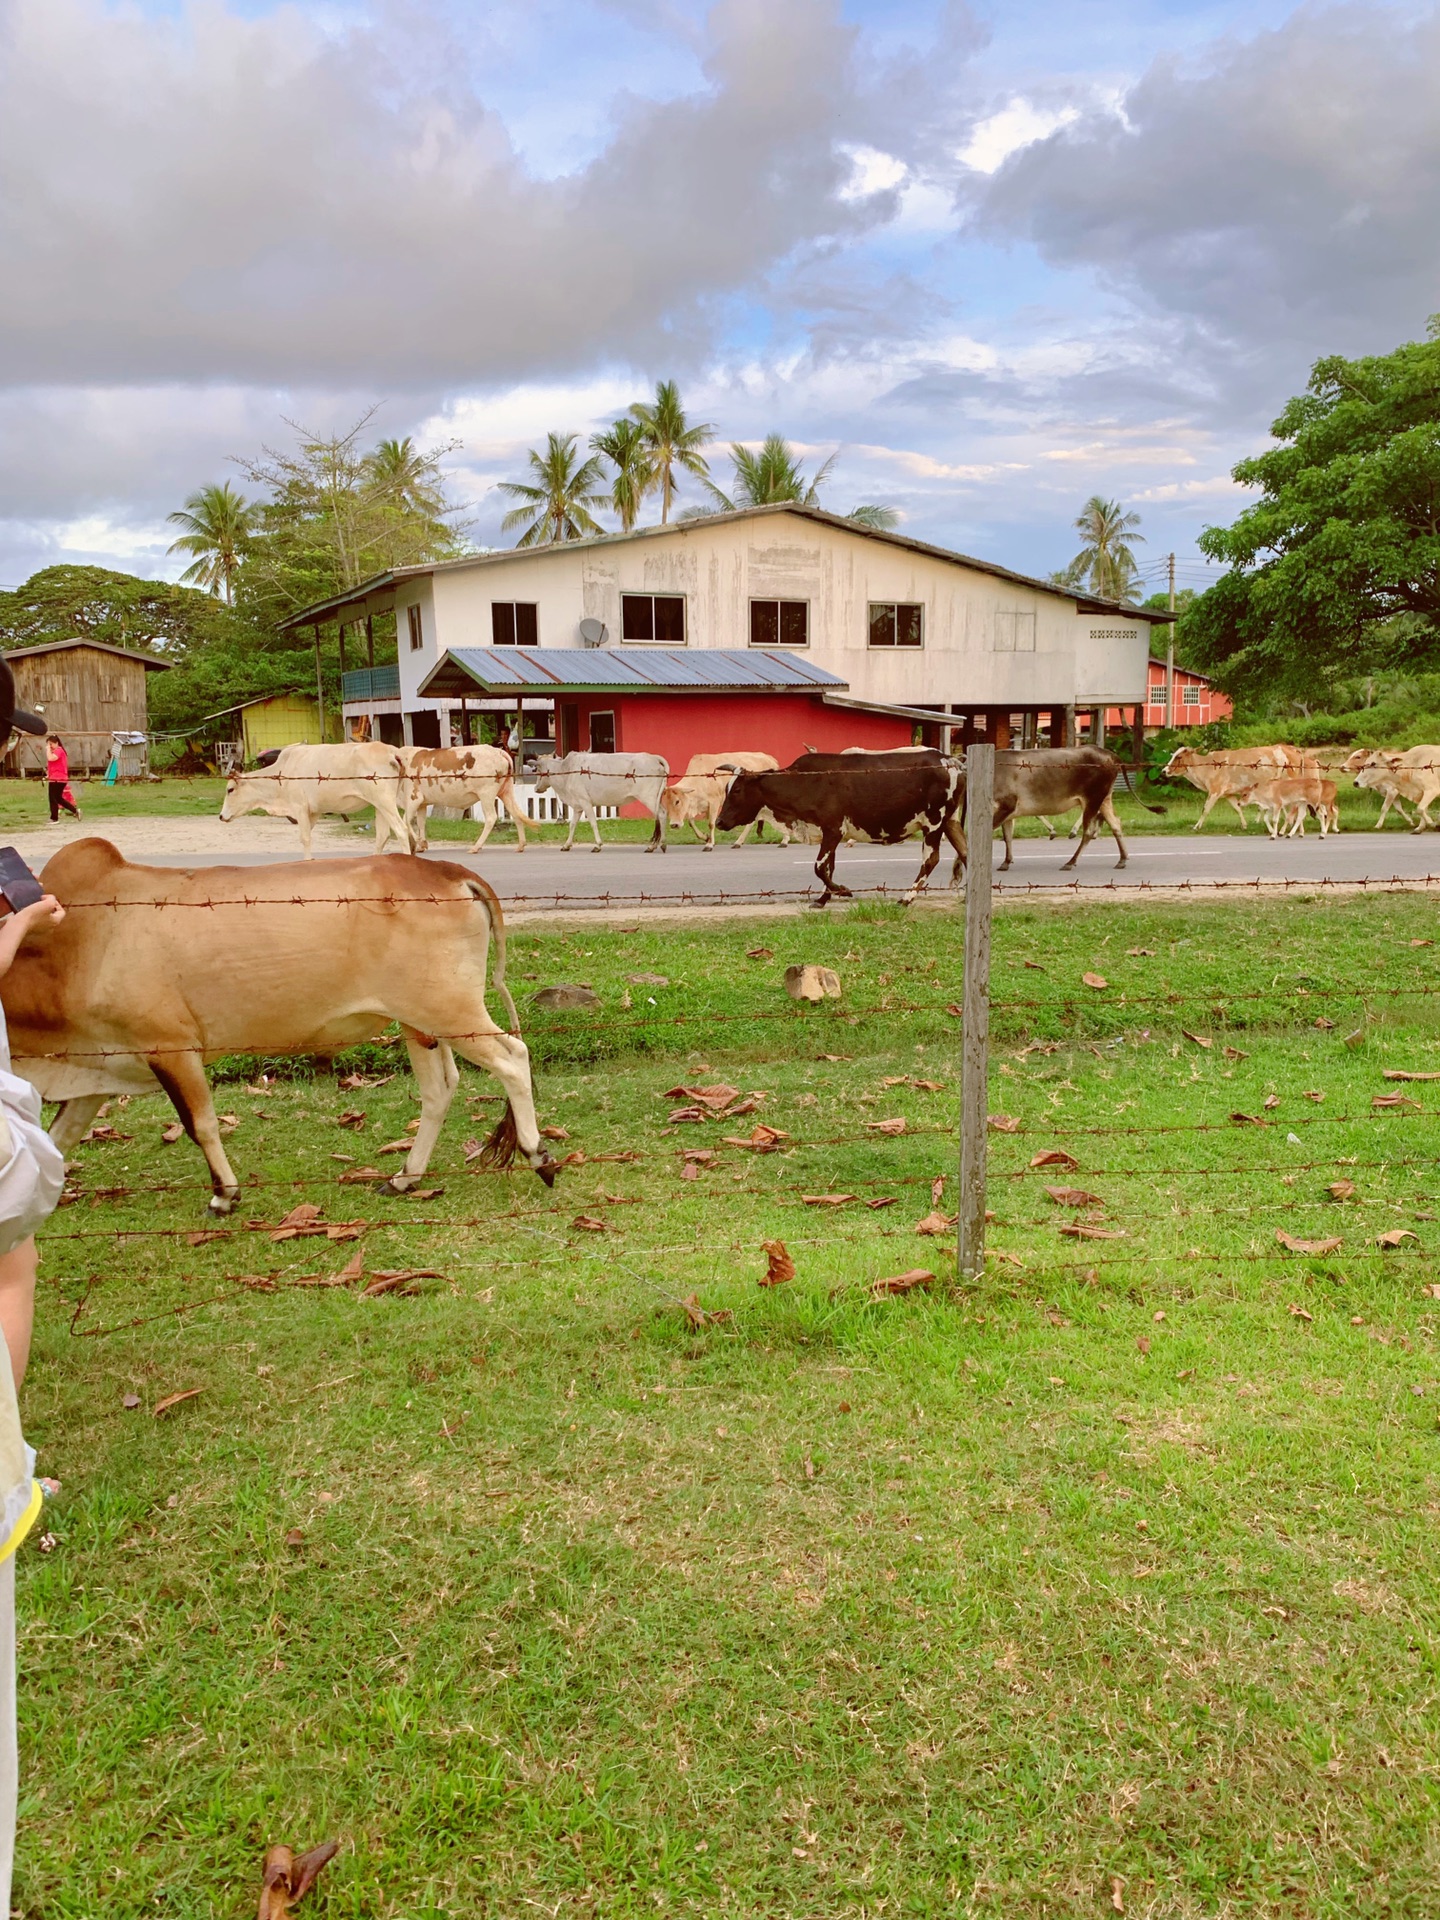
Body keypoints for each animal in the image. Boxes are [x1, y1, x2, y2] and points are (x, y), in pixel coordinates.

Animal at [0, 840, 556, 1213]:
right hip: (419, 1021)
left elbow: (200, 1124)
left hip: (451, 1011)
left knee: (513, 1058)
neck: (73, 948)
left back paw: (536, 1154)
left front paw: (224, 1195)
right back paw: (405, 1178)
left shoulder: (171, 1048)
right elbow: (59, 1135)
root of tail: (445, 869)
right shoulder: (96, 1067)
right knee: (441, 1089)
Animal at [218, 741, 410, 856]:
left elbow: (305, 838)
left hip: (385, 801)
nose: (221, 816)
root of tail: (392, 751)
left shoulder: (299, 807)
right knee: (382, 836)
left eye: (230, 789)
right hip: (379, 805)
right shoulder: (315, 811)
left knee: (401, 830)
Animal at [397, 737, 526, 852]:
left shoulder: (414, 798)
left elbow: (405, 820)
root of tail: (498, 751)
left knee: (491, 817)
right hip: (505, 791)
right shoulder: (422, 803)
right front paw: (421, 845)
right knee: (516, 813)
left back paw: (476, 847)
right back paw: (521, 845)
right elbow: (421, 822)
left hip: (486, 793)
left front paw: (420, 843)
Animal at [533, 752, 675, 852]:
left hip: (649, 797)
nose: (535, 788)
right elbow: (572, 825)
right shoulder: (578, 806)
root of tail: (653, 757)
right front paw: (566, 845)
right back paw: (654, 846)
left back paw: (660, 844)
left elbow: (593, 823)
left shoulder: (585, 802)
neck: (565, 771)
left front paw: (598, 845)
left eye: (537, 770)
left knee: (662, 814)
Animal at [664, 748, 794, 848]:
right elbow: (691, 822)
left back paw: (784, 841)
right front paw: (706, 838)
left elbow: (711, 824)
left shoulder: (714, 802)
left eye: (677, 801)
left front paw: (709, 845)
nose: (674, 825)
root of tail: (770, 759)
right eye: (665, 805)